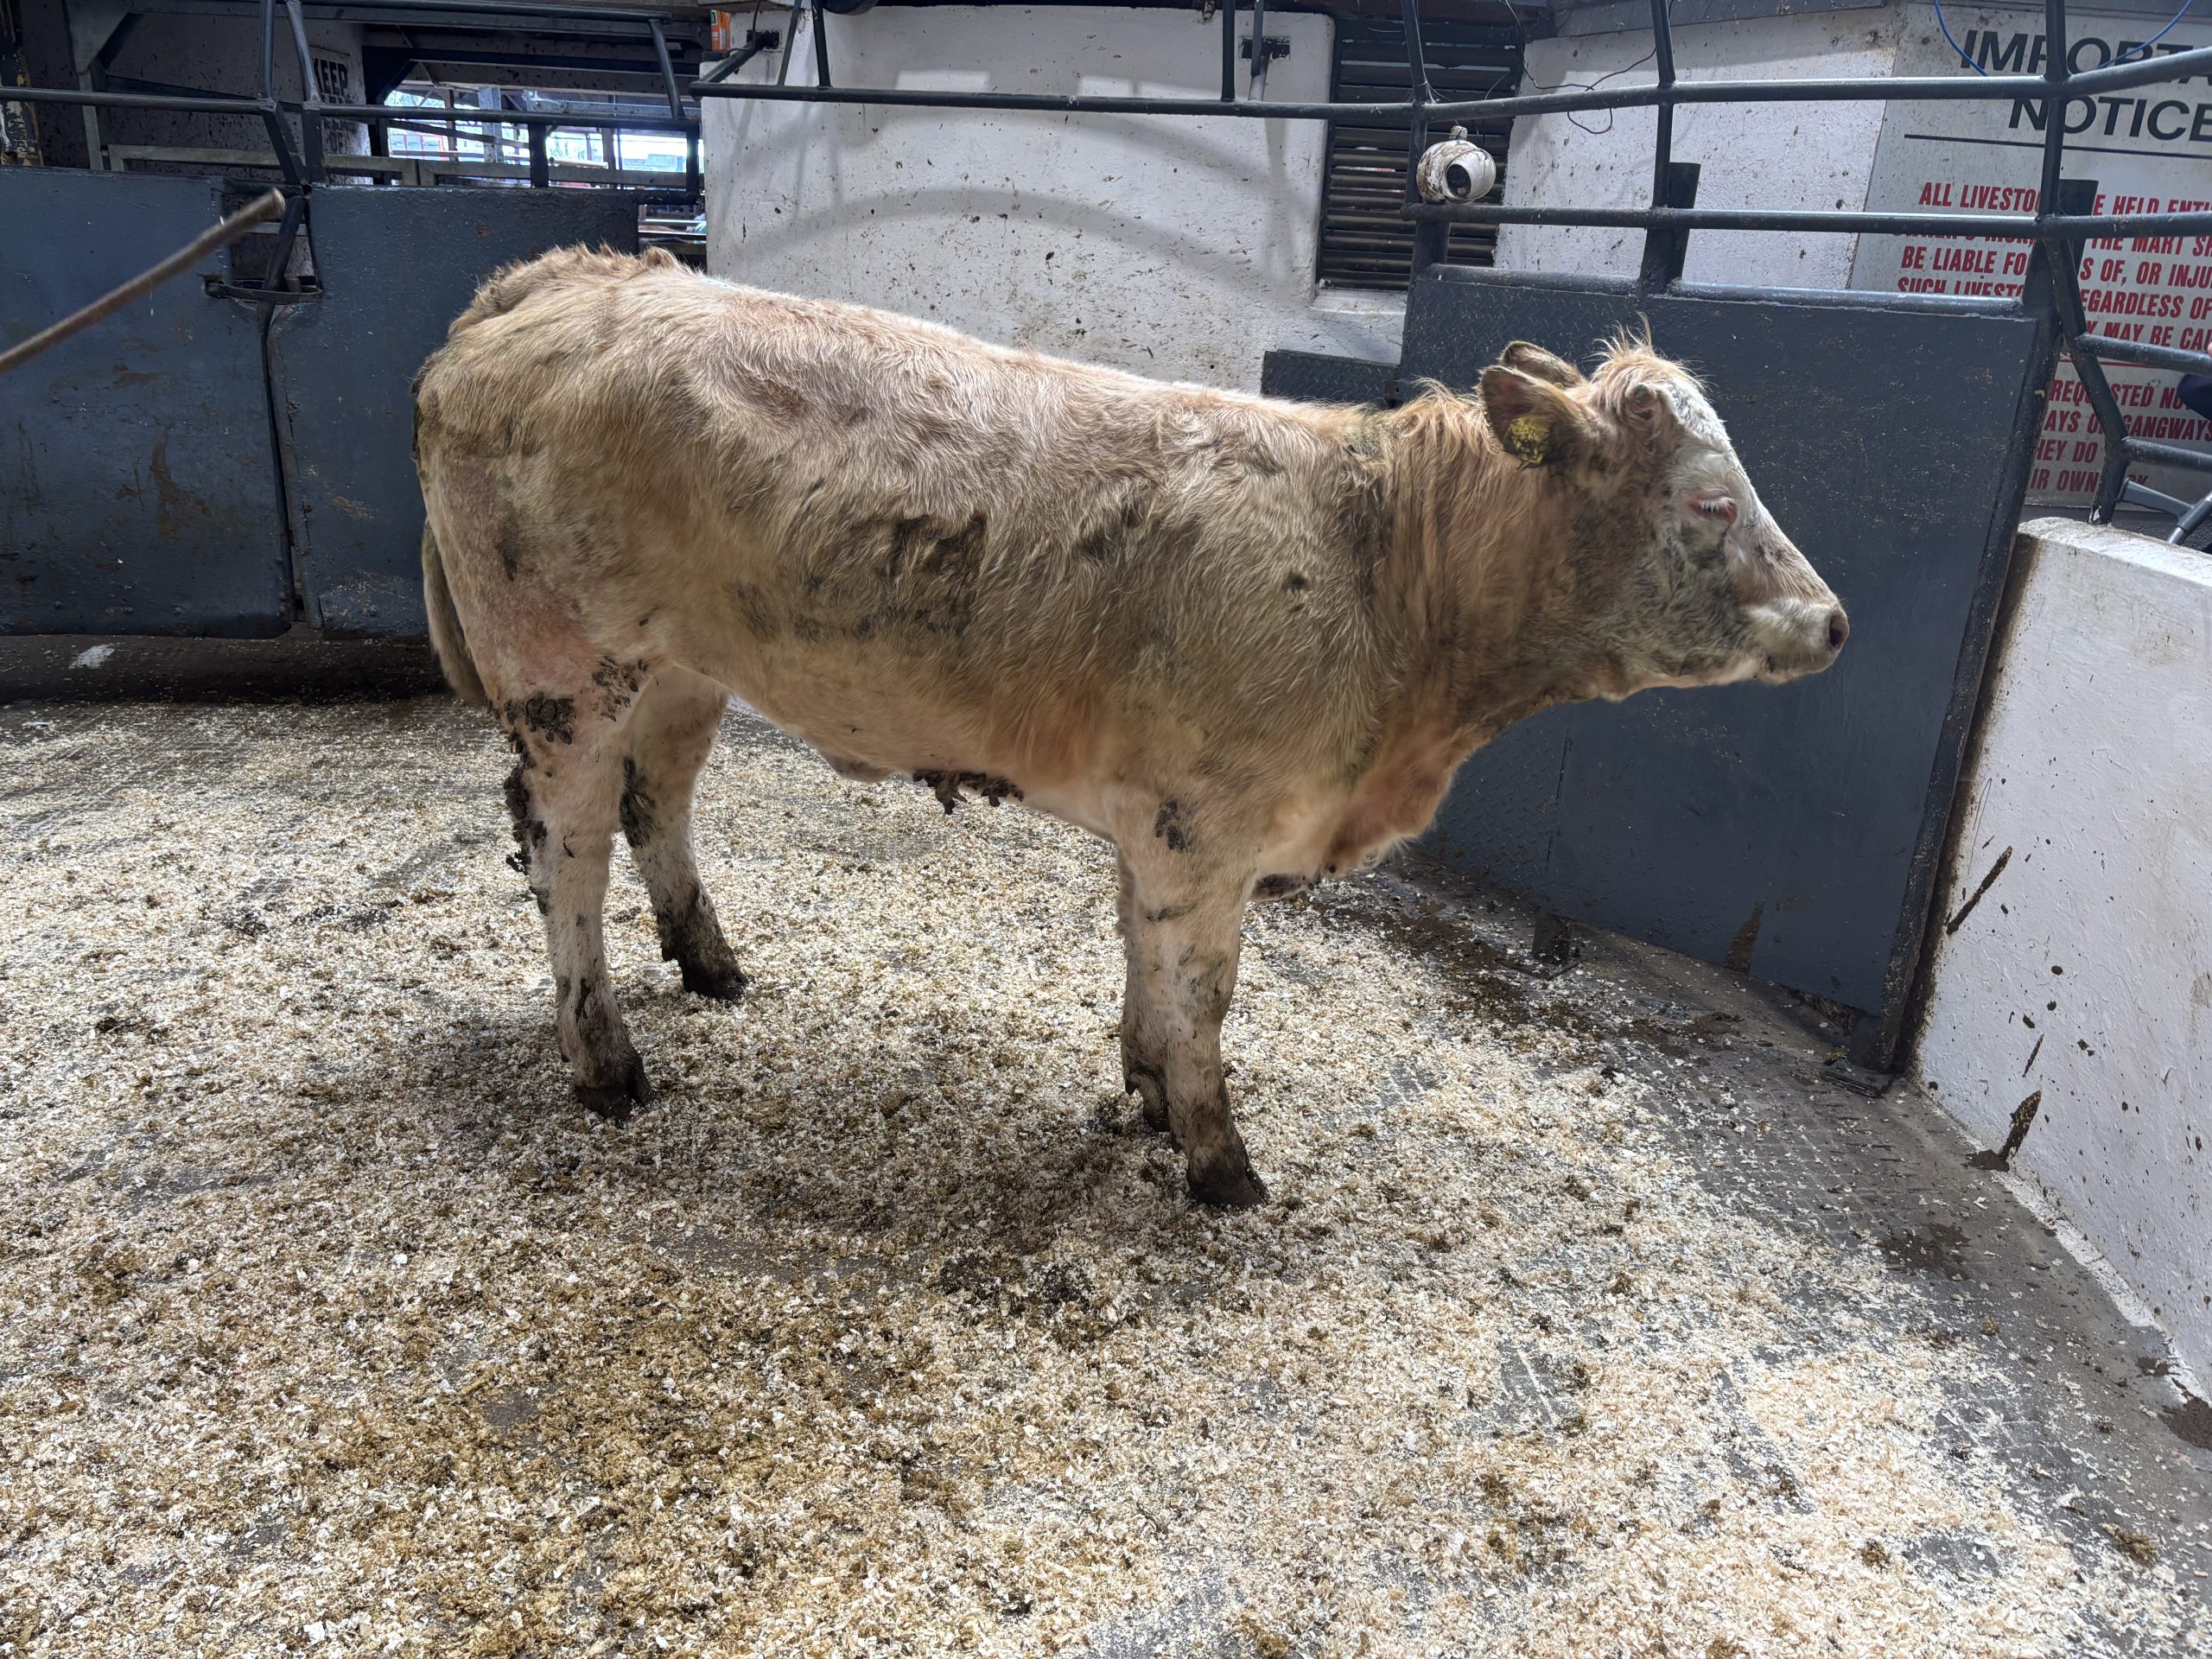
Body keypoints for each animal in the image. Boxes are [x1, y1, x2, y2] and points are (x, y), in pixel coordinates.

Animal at [411, 247, 1846, 1208]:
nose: (1834, 621)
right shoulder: (1210, 829)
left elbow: (1148, 976)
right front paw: (1219, 1160)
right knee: (566, 850)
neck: (1380, 570)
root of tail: (566, 276)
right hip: (566, 675)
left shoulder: (1159, 826)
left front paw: (1151, 1100)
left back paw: (709, 964)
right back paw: (605, 1059)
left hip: (679, 671)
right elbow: (1202, 994)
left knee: (659, 803)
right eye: (1711, 505)